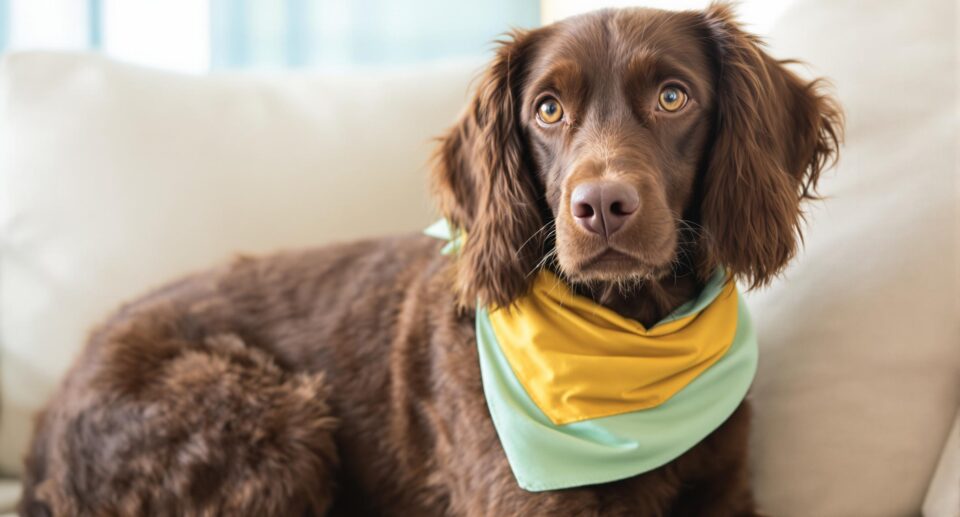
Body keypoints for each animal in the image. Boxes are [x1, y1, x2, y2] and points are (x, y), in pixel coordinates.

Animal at [18, 5, 836, 516]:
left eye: (672, 97)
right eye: (546, 109)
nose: (601, 205)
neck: (626, 339)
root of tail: (42, 432)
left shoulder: (728, 492)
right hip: (267, 416)